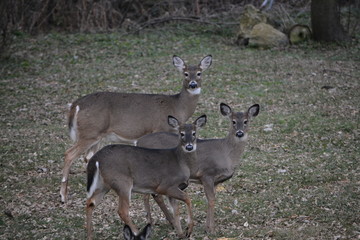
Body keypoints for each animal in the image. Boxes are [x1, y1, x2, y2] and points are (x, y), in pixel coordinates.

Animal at [58, 54, 211, 202]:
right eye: (185, 73)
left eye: (199, 73)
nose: (193, 84)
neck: (177, 106)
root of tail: (76, 105)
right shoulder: (159, 129)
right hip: (90, 133)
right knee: (69, 154)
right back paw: (63, 196)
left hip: (97, 136)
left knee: (87, 156)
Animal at [137, 102, 258, 232]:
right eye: (233, 121)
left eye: (246, 121)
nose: (239, 133)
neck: (226, 154)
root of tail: (138, 142)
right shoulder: (207, 173)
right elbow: (211, 199)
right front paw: (211, 229)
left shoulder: (215, 181)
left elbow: (211, 199)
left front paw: (208, 226)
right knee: (147, 195)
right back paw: (152, 222)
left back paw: (170, 222)